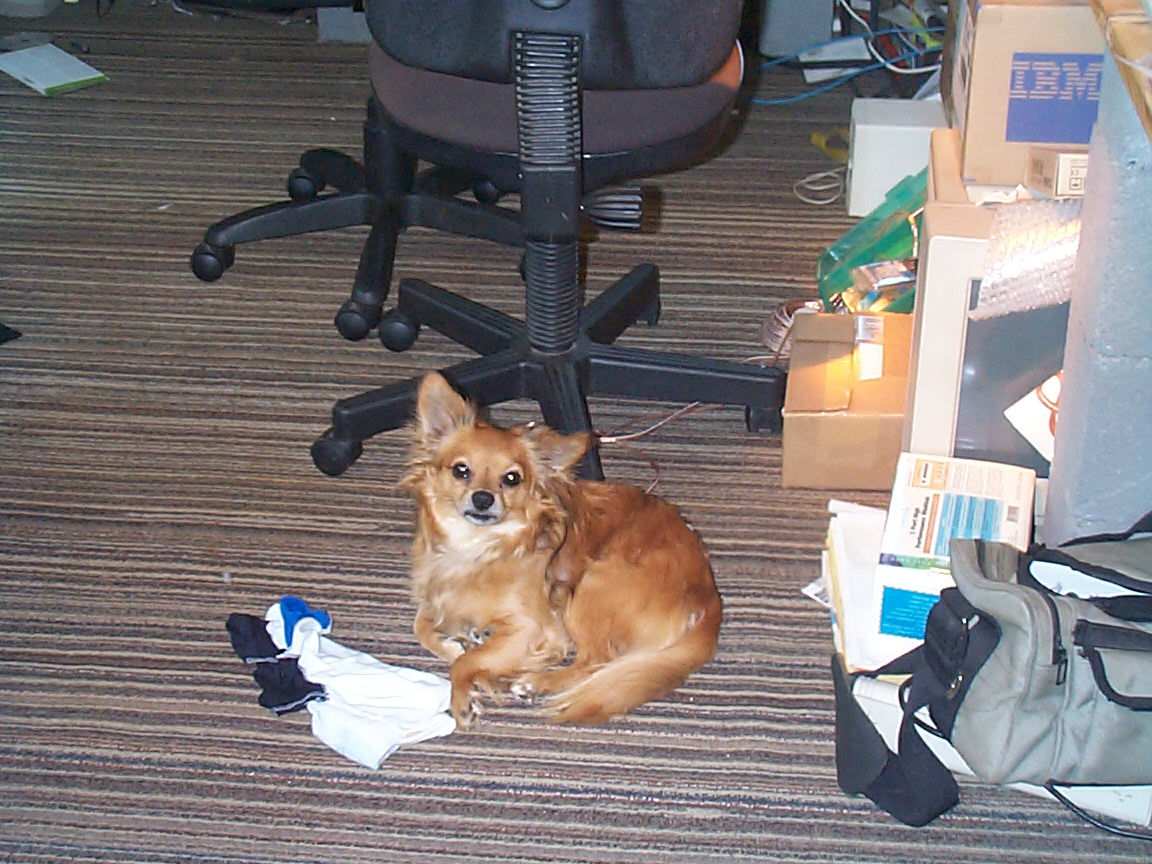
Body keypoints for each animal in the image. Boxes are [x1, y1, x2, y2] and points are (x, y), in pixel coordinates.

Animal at [402, 371, 722, 728]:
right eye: (461, 470)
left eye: (511, 478)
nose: (483, 499)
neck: (476, 549)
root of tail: (710, 601)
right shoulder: (437, 596)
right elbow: (421, 625)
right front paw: (456, 643)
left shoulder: (532, 626)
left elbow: (466, 663)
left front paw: (463, 696)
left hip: (591, 587)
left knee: (595, 661)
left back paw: (536, 682)